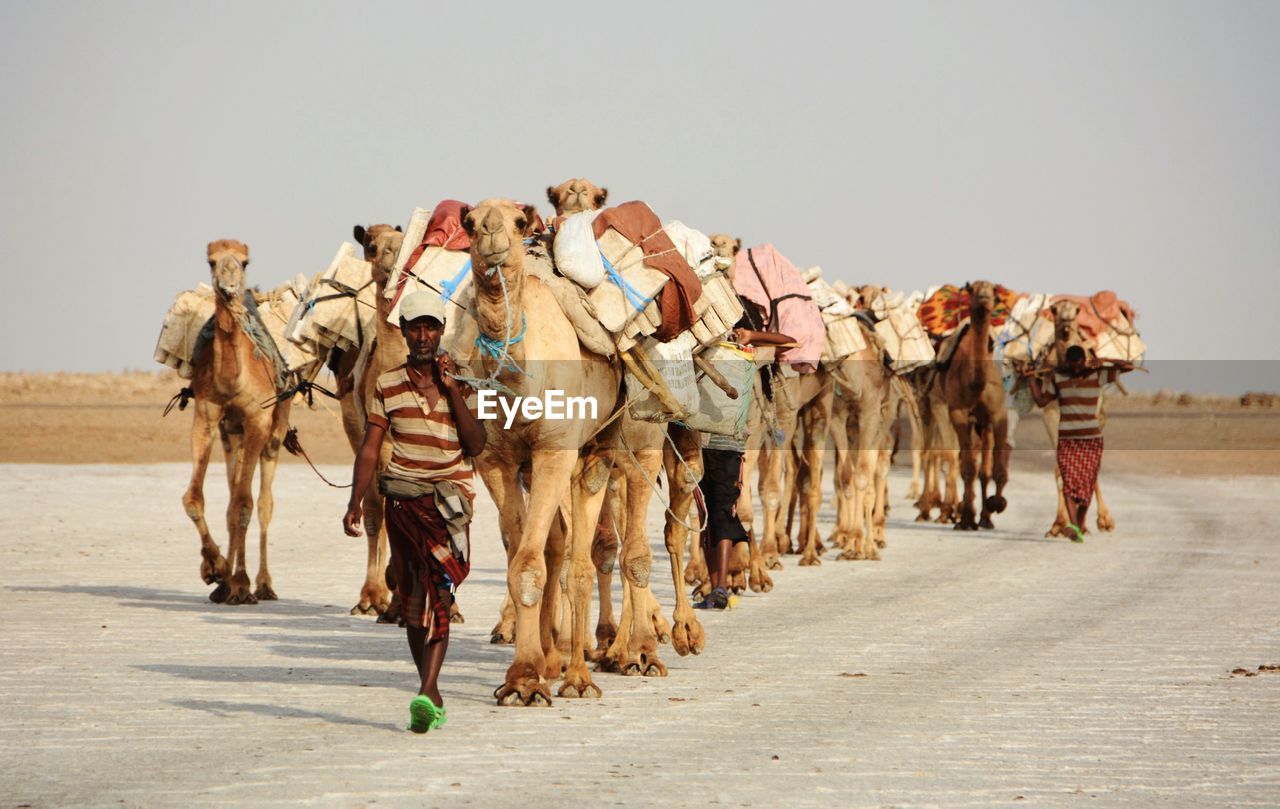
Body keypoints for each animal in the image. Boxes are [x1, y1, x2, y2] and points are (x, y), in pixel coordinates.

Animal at [183, 241, 293, 606]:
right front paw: (216, 570)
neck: (233, 381)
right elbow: (195, 499)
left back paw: (262, 585)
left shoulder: (258, 419)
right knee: (232, 500)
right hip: (232, 435)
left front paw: (242, 583)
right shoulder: (206, 416)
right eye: (211, 261)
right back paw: (225, 586)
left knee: (263, 503)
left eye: (244, 261)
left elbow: (246, 504)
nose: (229, 283)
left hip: (273, 434)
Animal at [458, 199, 627, 706]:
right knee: (559, 547)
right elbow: (522, 561)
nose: (491, 233)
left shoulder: (555, 450)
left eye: (518, 221)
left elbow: (536, 563)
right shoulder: (496, 460)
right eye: (469, 222)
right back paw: (555, 661)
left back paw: (586, 671)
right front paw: (524, 676)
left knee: (584, 559)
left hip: (598, 447)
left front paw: (537, 679)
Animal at [936, 281, 1013, 527]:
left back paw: (986, 518)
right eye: (973, 288)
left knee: (985, 469)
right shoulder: (958, 413)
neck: (976, 383)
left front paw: (997, 503)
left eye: (992, 289)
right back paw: (969, 515)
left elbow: (998, 470)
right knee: (971, 465)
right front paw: (966, 519)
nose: (984, 297)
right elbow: (967, 468)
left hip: (984, 423)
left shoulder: (998, 412)